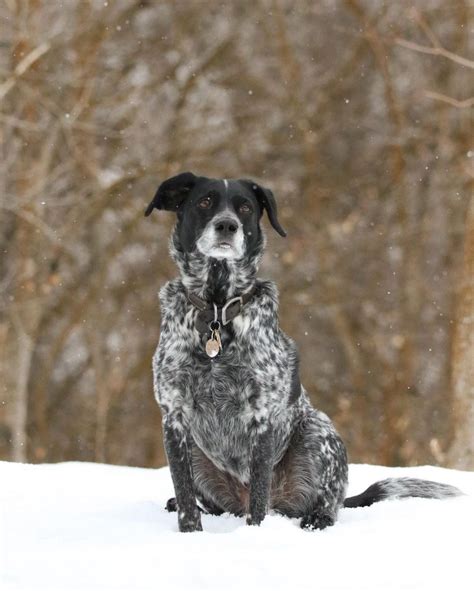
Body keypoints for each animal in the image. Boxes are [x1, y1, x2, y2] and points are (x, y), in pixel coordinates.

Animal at [145, 173, 462, 536]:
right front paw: (190, 534)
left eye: (245, 207)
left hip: (318, 431)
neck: (216, 311)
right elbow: (184, 493)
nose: (227, 225)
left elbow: (259, 496)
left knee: (326, 502)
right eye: (205, 201)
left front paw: (255, 535)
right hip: (201, 454)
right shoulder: (174, 416)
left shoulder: (262, 417)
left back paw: (317, 518)